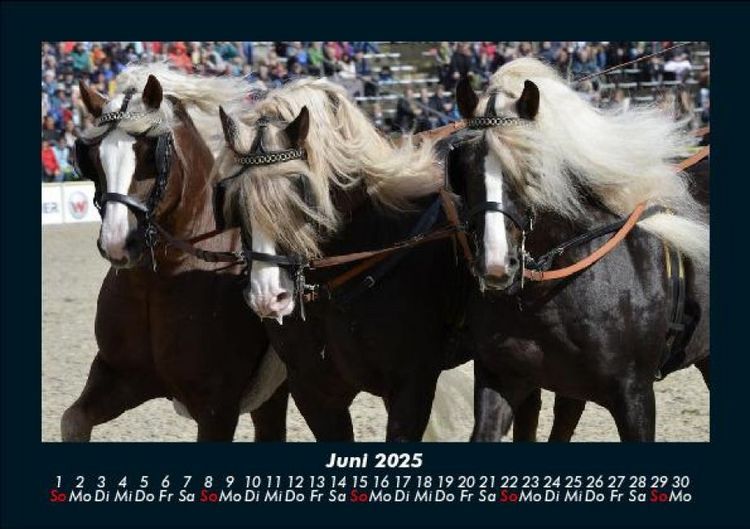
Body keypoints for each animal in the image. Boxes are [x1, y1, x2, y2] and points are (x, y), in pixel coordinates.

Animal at [60, 66, 288, 442]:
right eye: (93, 158)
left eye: (149, 152)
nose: (117, 242)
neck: (159, 282)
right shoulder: (119, 378)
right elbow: (73, 420)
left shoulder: (217, 408)